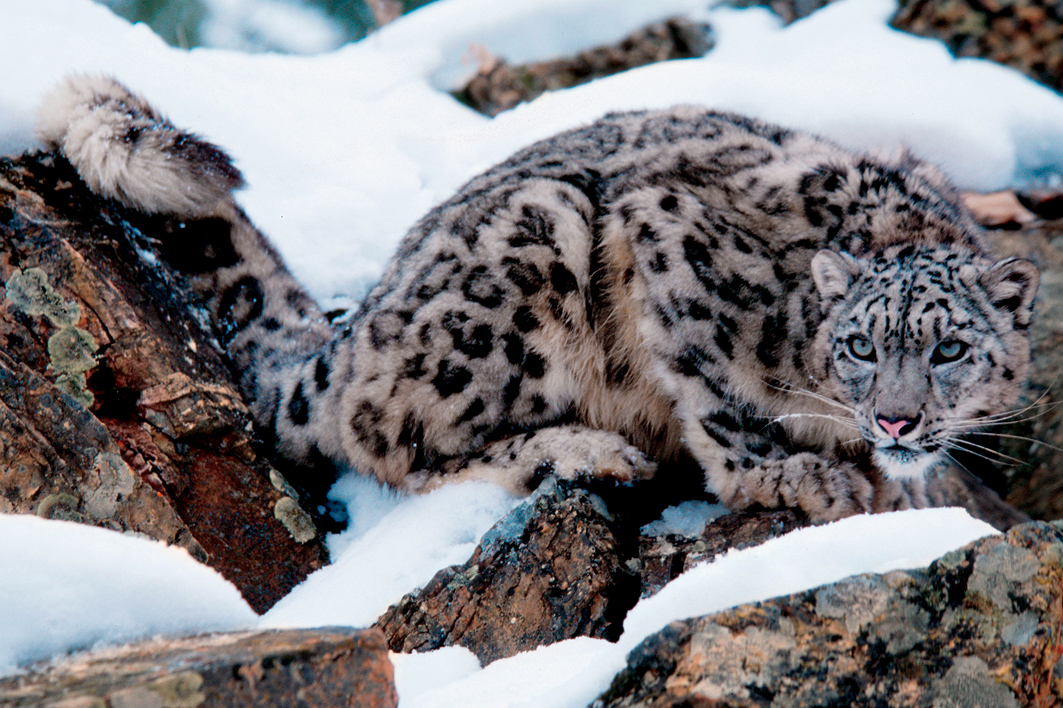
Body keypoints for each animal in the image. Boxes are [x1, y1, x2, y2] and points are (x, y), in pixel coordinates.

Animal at [37, 76, 1033, 518]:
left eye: (949, 349)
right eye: (859, 345)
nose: (897, 420)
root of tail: (359, 327)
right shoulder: (667, 233)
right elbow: (714, 392)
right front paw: (795, 477)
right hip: (529, 253)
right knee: (392, 446)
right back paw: (586, 452)